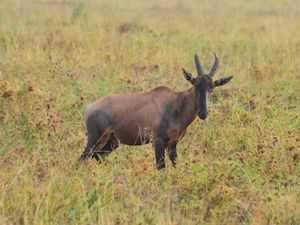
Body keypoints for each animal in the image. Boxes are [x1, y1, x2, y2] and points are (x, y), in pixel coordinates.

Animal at [79, 52, 232, 169]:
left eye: (211, 89)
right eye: (195, 85)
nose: (203, 114)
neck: (175, 104)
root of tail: (89, 108)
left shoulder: (172, 144)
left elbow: (175, 166)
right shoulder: (158, 141)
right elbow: (161, 167)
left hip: (111, 142)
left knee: (97, 156)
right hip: (95, 139)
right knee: (83, 158)